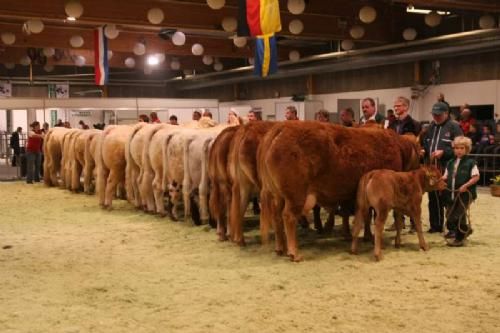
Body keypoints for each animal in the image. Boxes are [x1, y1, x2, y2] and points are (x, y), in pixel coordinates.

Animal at [258, 120, 418, 260]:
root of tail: (282, 126)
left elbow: (363, 215)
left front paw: (364, 235)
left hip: (278, 195)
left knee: (277, 217)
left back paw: (280, 248)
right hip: (295, 194)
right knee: (288, 217)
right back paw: (294, 253)